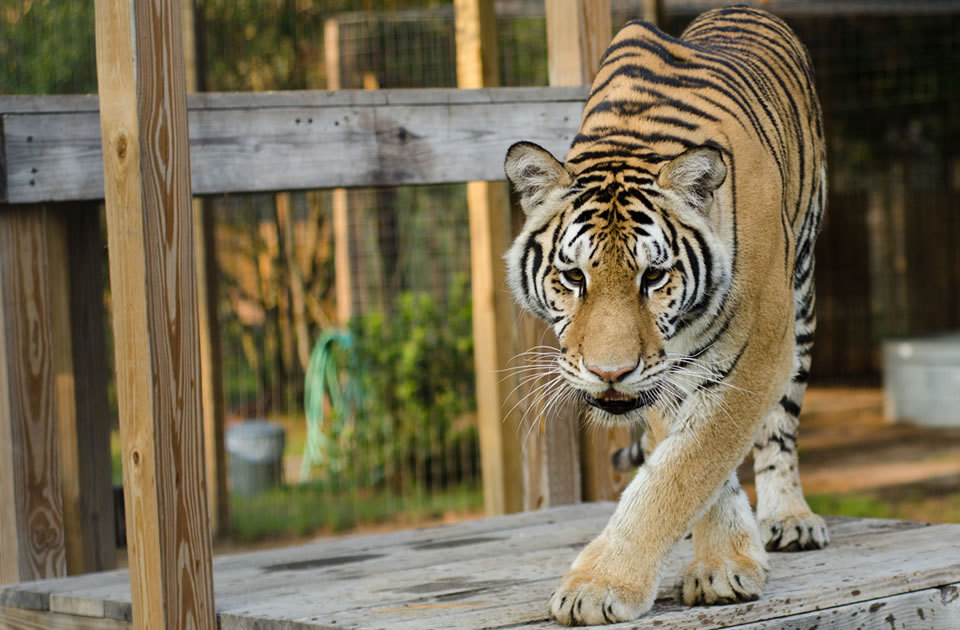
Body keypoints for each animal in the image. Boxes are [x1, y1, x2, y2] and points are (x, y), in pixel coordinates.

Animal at [506, 6, 828, 628]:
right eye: (573, 277)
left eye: (653, 277)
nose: (609, 374)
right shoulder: (664, 375)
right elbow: (692, 462)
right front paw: (726, 559)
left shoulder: (756, 351)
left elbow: (682, 470)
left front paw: (598, 587)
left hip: (800, 300)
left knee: (779, 431)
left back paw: (789, 518)